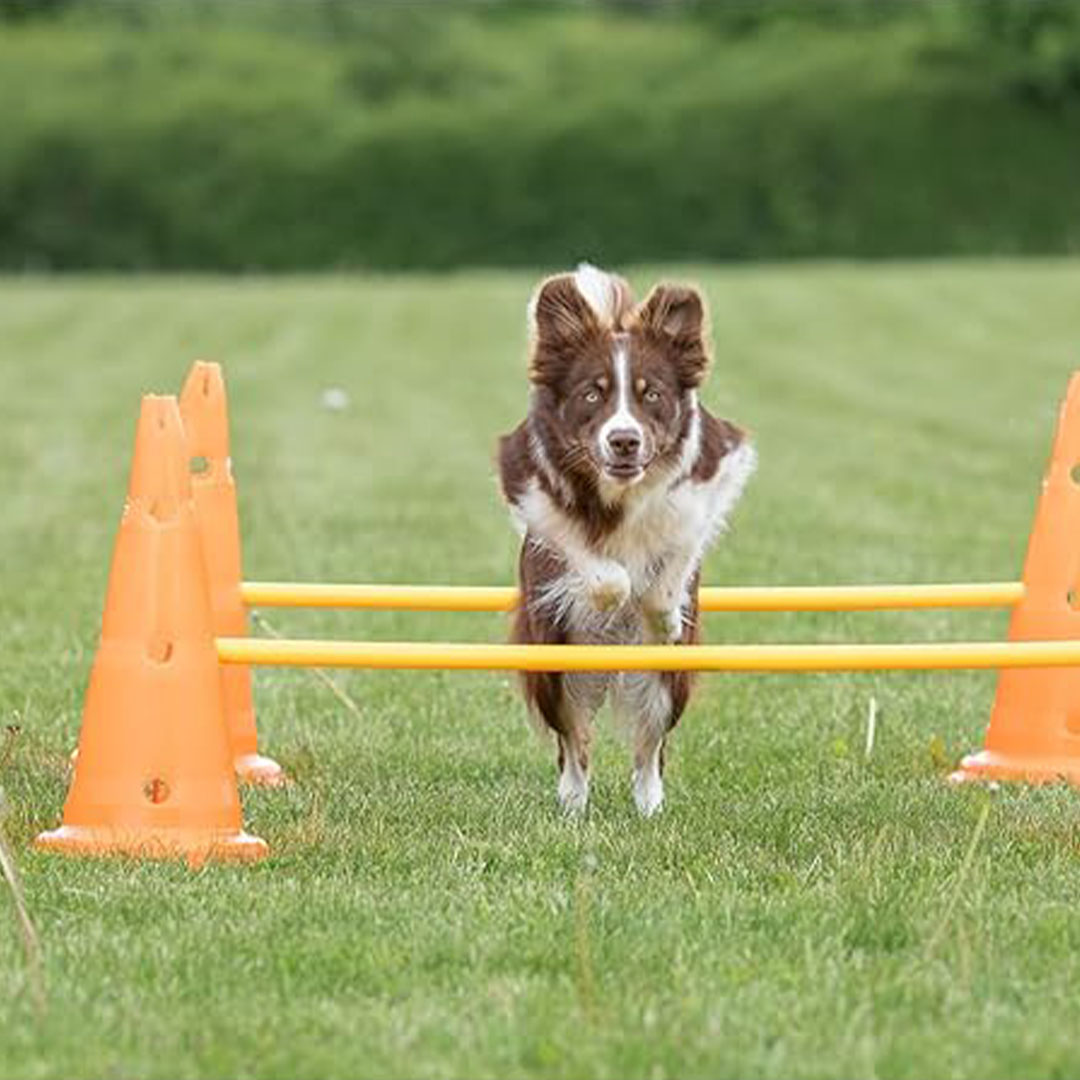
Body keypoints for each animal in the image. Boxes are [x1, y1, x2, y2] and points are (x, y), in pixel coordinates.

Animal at [494, 265, 751, 812]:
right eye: (592, 393)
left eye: (651, 393)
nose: (624, 440)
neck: (623, 489)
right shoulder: (525, 479)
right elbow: (595, 563)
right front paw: (609, 593)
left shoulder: (717, 469)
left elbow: (676, 549)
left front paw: (663, 615)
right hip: (551, 662)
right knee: (573, 741)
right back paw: (572, 803)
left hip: (667, 684)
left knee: (649, 746)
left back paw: (650, 805)